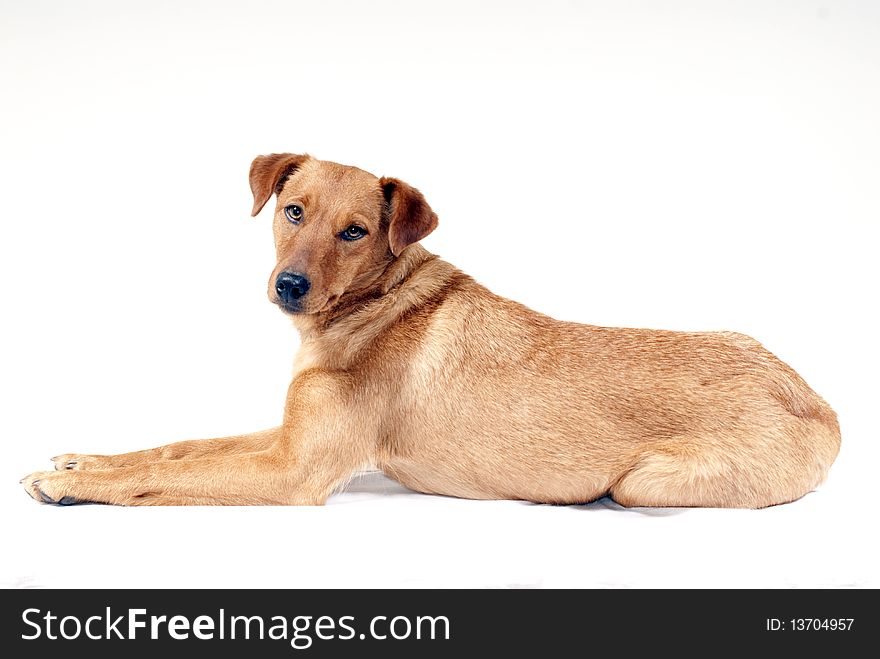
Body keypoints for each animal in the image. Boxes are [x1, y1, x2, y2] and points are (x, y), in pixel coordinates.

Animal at [24, 156, 844, 510]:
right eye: (293, 210)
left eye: (355, 231)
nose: (289, 286)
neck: (370, 307)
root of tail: (817, 399)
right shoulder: (288, 436)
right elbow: (177, 447)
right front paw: (82, 460)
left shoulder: (293, 470)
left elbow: (167, 475)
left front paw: (77, 485)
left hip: (641, 483)